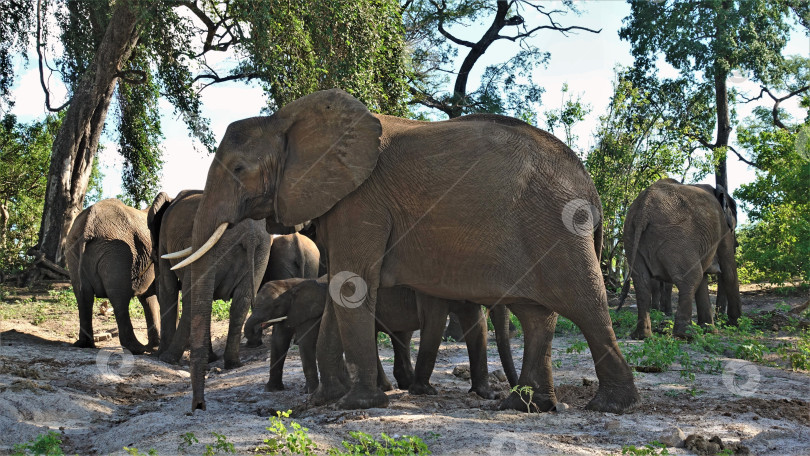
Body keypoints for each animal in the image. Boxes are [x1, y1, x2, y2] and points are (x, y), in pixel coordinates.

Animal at [64, 199, 159, 352]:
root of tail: (87, 225)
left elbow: (149, 299)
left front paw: (155, 348)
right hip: (116, 252)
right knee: (119, 299)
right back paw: (136, 349)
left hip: (73, 249)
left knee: (83, 296)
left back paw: (85, 344)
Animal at [243, 276, 516, 398]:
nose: (518, 391)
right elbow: (434, 323)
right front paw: (426, 392)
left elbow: (477, 327)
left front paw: (486, 395)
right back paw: (384, 388)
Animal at [620, 178, 740, 338]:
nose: (737, 244)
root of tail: (643, 211)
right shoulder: (723, 228)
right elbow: (729, 272)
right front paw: (736, 325)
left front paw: (710, 330)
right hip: (676, 238)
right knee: (691, 278)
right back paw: (686, 335)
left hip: (631, 236)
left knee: (642, 282)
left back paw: (642, 335)